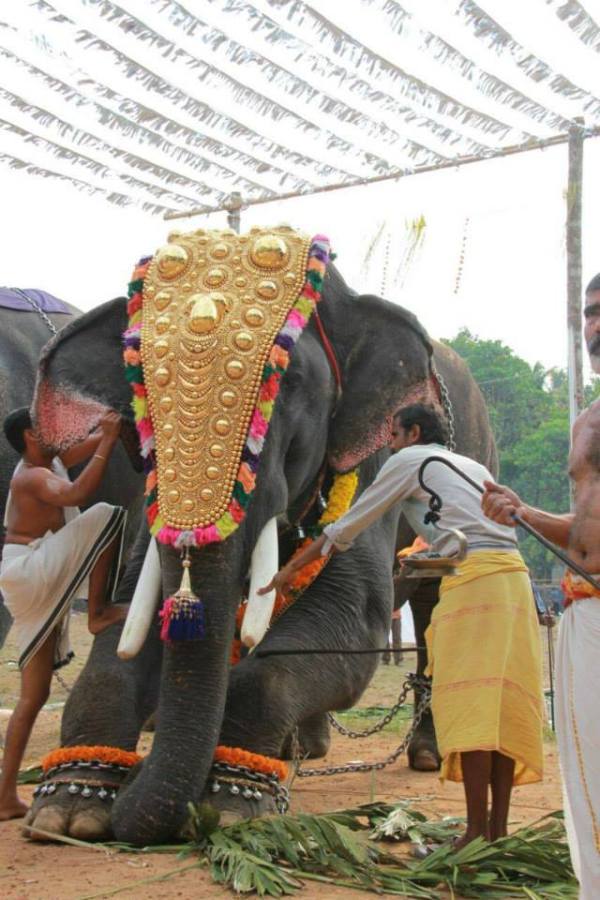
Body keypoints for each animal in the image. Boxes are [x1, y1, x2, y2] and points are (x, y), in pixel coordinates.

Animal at [23, 233, 496, 846]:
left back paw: (426, 757)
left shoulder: (377, 458)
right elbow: (128, 616)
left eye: (286, 384)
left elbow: (351, 615)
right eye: (140, 390)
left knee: (437, 608)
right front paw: (69, 811)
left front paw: (228, 805)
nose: (135, 795)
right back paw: (302, 751)